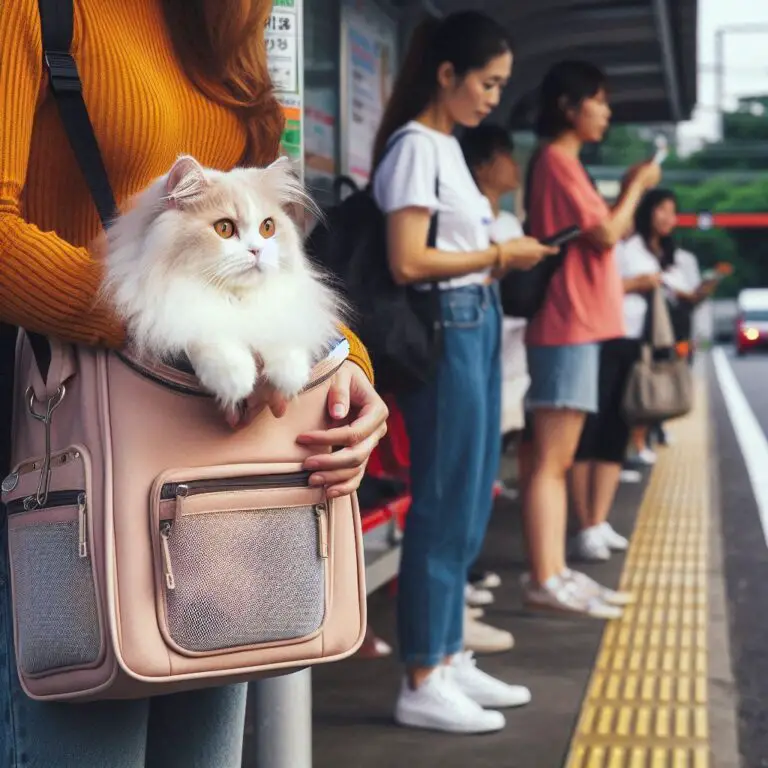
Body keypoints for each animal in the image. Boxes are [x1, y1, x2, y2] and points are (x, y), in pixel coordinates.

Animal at [102, 155, 342, 414]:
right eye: (224, 228)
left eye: (267, 228)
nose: (256, 250)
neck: (235, 298)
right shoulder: (168, 308)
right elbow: (209, 334)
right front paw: (236, 382)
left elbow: (281, 328)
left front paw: (290, 377)